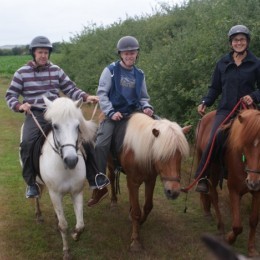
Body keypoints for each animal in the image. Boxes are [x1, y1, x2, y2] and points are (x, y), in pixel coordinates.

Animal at [27, 96, 96, 258]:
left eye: (77, 126)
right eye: (55, 126)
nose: (71, 160)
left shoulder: (76, 193)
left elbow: (81, 224)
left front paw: (75, 235)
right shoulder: (55, 194)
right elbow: (64, 225)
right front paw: (66, 251)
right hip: (38, 184)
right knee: (36, 194)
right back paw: (38, 215)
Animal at [106, 112, 190, 251]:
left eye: (180, 156)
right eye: (161, 156)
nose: (174, 191)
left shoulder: (150, 181)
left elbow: (147, 206)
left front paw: (139, 222)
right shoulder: (133, 182)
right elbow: (136, 211)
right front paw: (136, 241)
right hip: (111, 165)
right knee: (112, 179)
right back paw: (113, 202)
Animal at [196, 108, 260, 256]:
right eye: (245, 143)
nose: (253, 182)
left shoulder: (258, 192)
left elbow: (253, 220)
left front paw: (251, 248)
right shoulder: (234, 189)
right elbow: (237, 226)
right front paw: (229, 239)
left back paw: (208, 211)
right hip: (206, 162)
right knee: (213, 194)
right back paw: (220, 226)